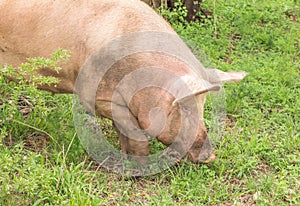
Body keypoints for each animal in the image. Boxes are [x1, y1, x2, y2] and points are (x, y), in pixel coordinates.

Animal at [0, 0, 246, 165]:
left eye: (203, 107)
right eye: (184, 109)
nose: (210, 156)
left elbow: (123, 131)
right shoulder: (96, 95)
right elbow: (132, 130)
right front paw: (138, 164)